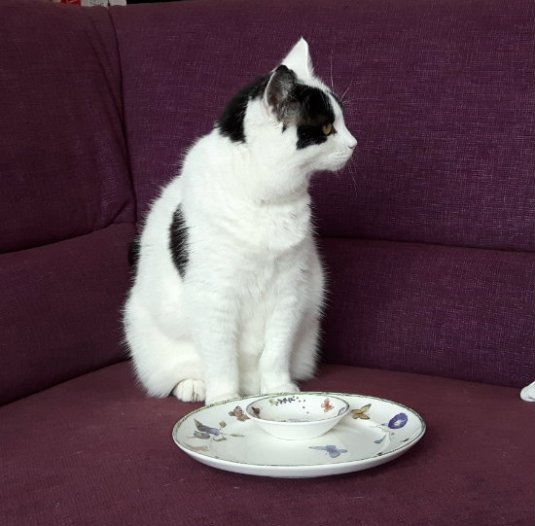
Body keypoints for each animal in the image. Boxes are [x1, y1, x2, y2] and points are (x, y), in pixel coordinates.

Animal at [123, 38, 357, 405]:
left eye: (342, 123)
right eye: (326, 129)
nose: (354, 144)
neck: (266, 202)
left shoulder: (290, 290)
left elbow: (275, 352)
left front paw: (278, 391)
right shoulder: (213, 297)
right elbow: (220, 358)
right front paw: (223, 400)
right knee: (176, 373)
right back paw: (196, 387)